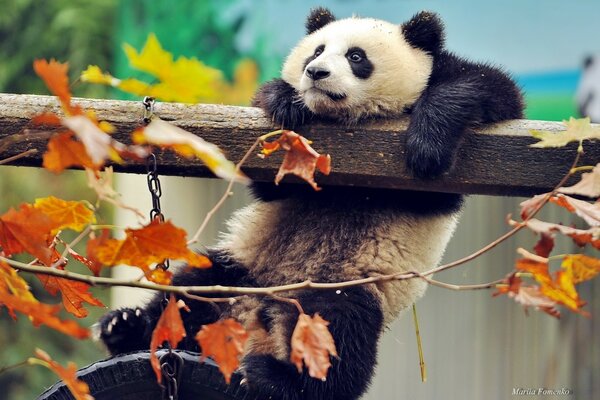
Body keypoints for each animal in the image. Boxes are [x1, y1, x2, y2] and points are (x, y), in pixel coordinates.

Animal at [98, 7, 520, 400]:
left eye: (356, 56)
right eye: (315, 51)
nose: (315, 72)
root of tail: (257, 318)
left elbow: (487, 90)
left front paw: (427, 145)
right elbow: (272, 183)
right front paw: (285, 100)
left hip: (347, 284)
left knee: (340, 330)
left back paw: (277, 378)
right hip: (241, 268)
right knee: (191, 292)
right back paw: (127, 327)